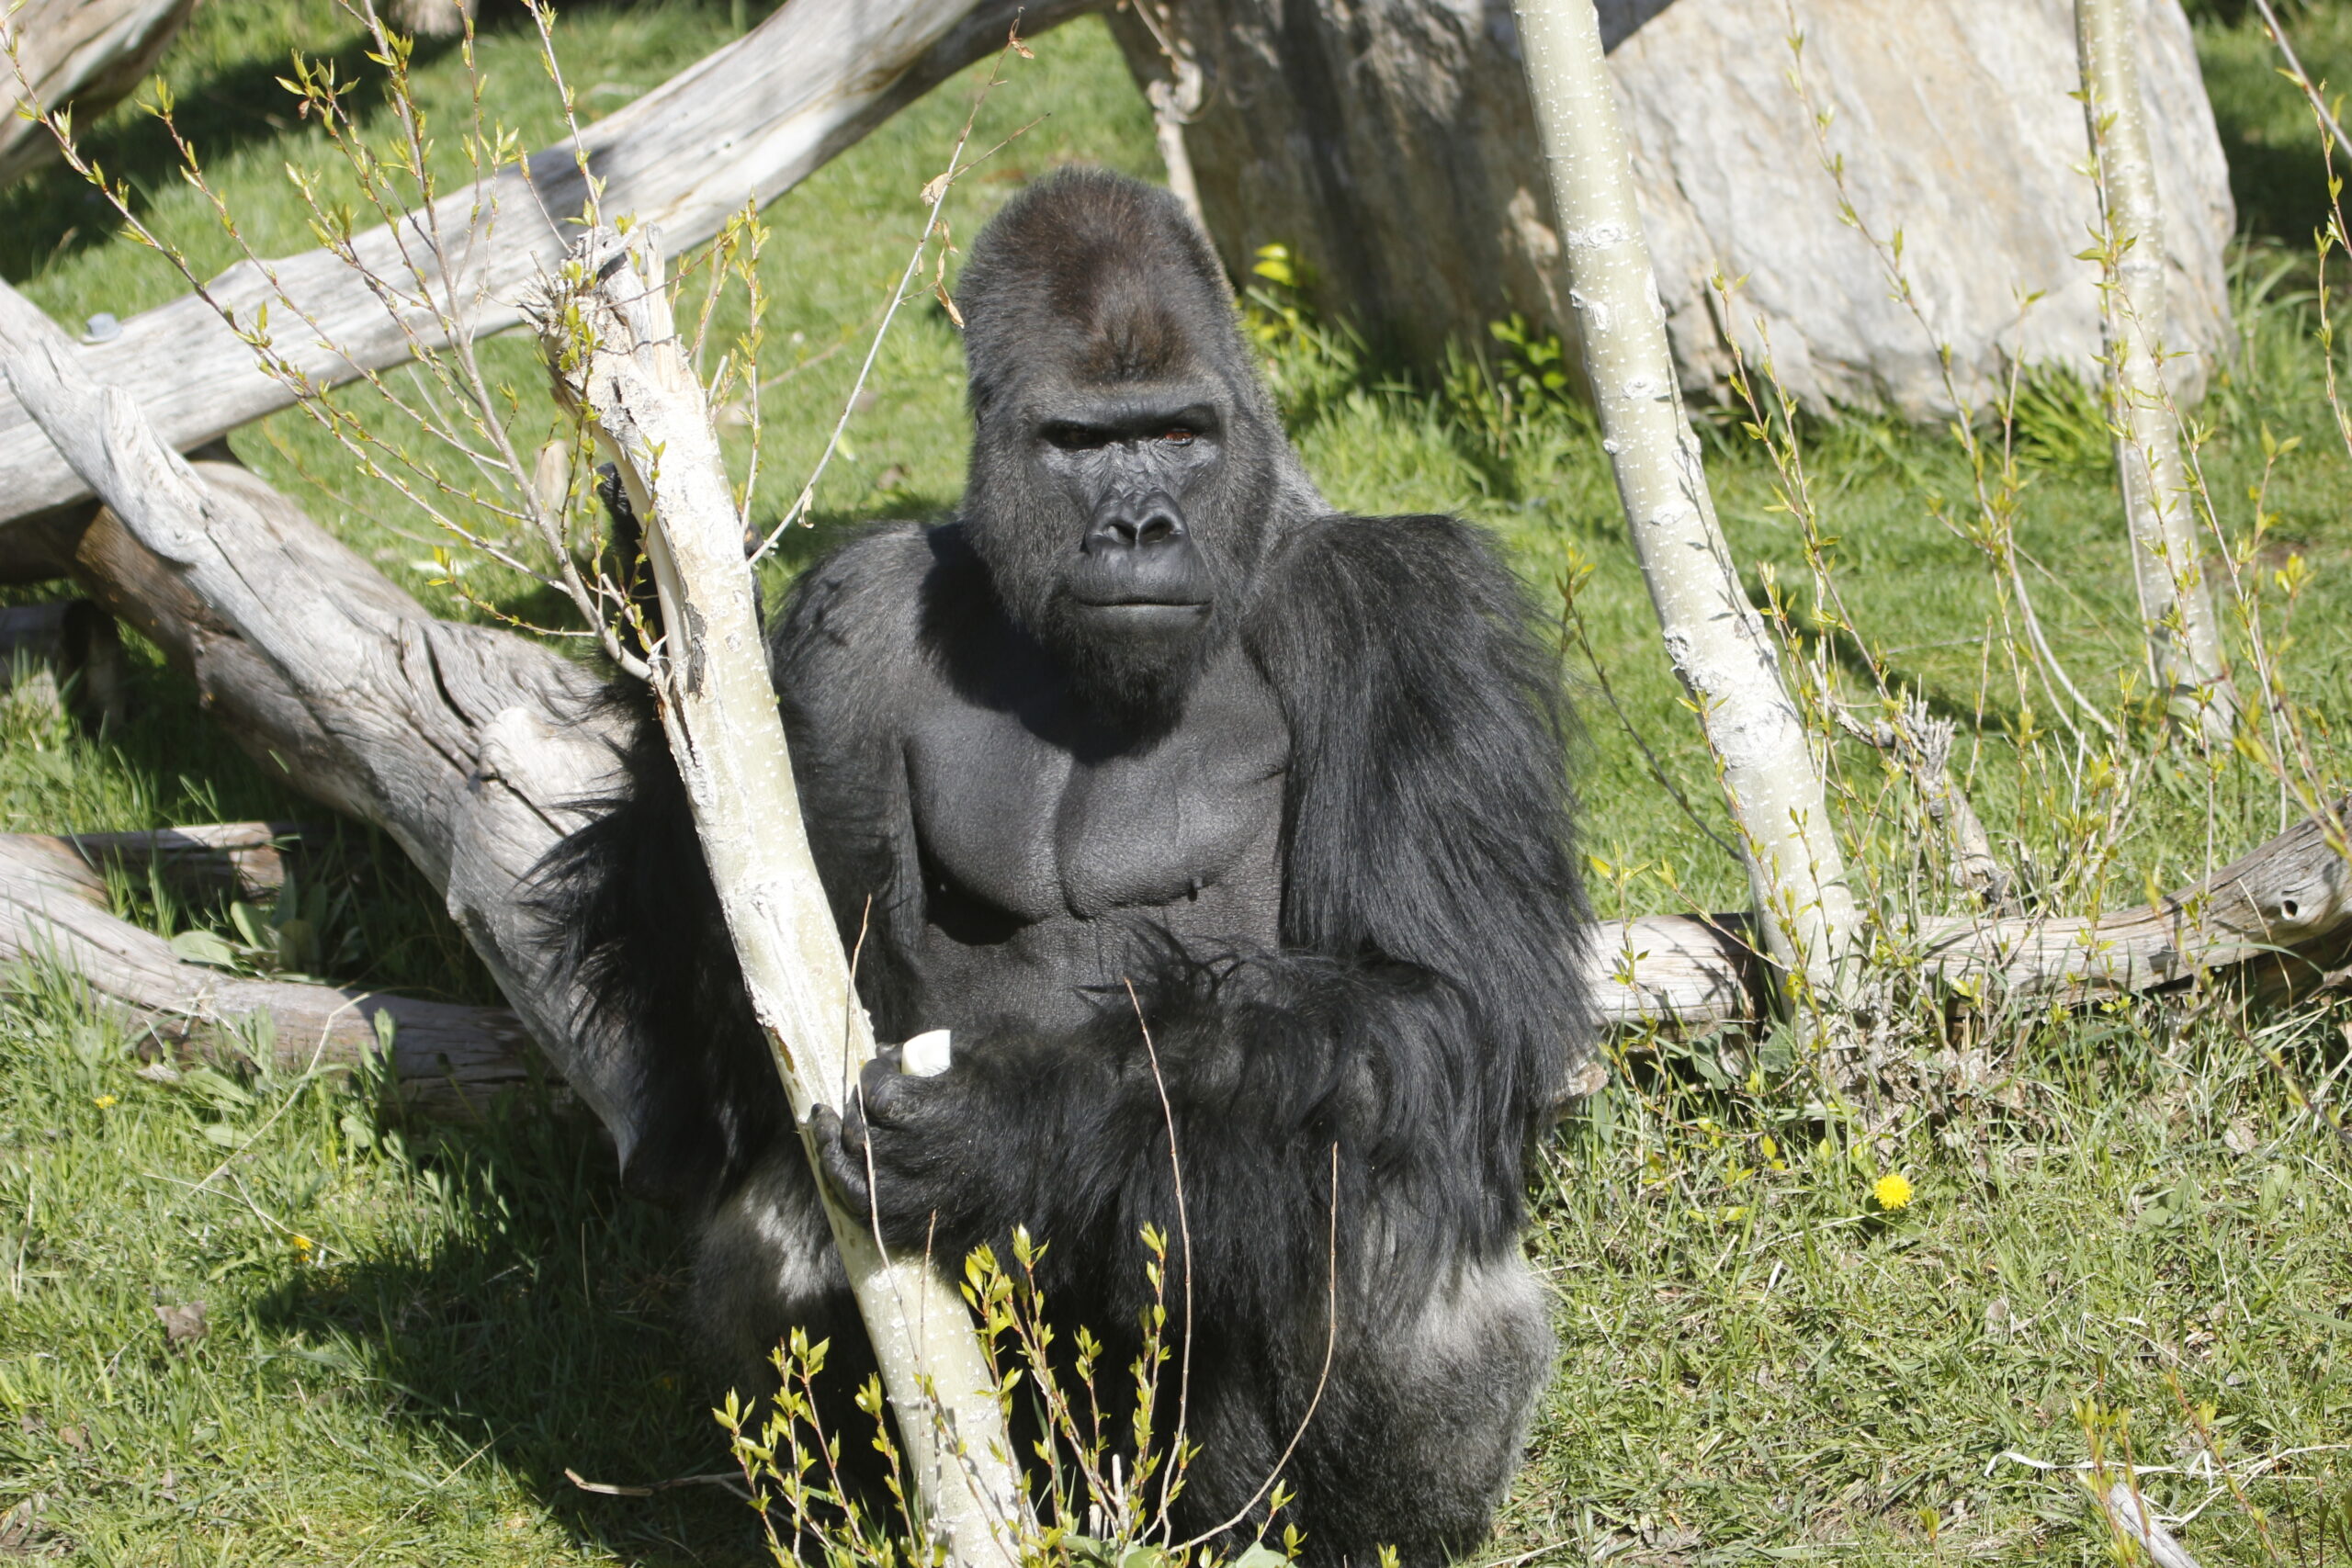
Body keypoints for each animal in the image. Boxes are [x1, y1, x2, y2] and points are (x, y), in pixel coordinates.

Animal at [550, 165, 1589, 1561]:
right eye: (1084, 445)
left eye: (1181, 434)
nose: (1141, 523)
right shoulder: (848, 626)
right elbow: (737, 1029)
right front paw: (650, 613)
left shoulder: (1407, 615)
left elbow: (1439, 1000)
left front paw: (1014, 1120)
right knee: (782, 1219)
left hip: (1197, 1491)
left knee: (1380, 1182)